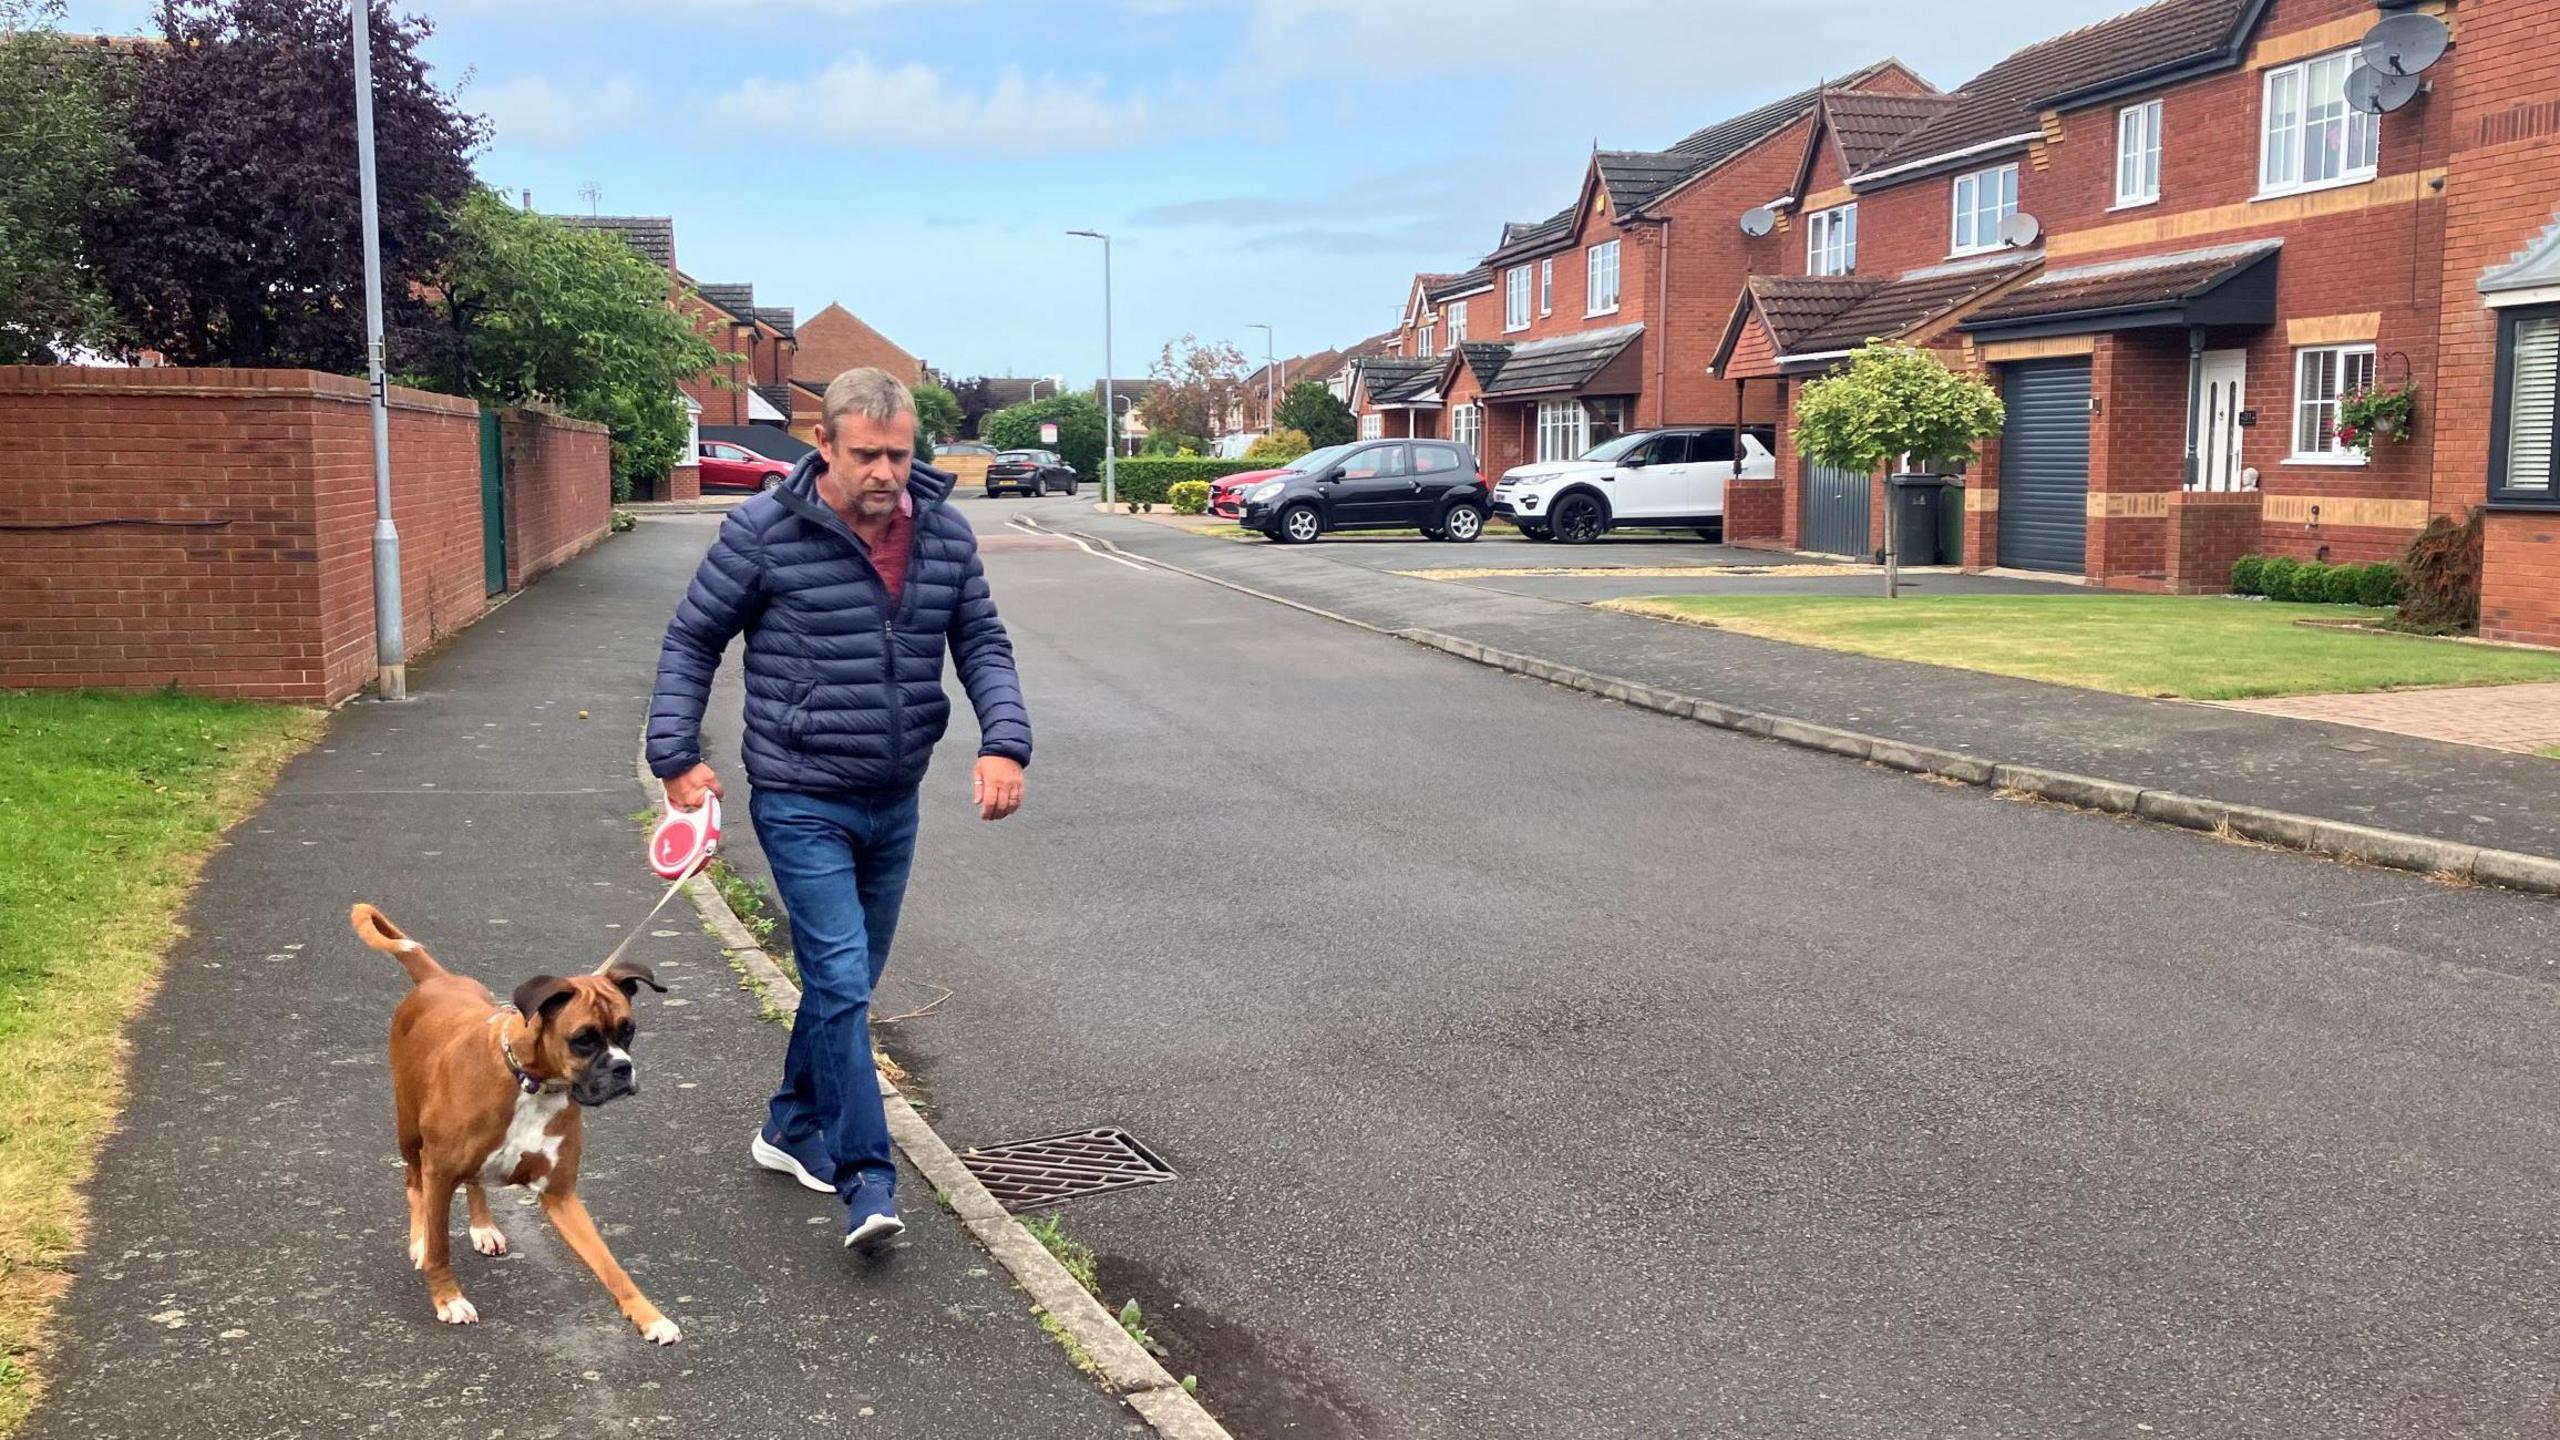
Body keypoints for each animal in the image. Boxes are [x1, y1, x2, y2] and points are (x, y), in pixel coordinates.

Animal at [355, 901, 691, 1342]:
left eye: (628, 1031)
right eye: (583, 1039)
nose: (623, 1067)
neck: (533, 1085)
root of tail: (437, 979)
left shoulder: (560, 1194)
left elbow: (610, 1265)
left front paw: (650, 1316)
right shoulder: (440, 1171)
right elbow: (441, 1247)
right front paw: (447, 1298)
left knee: (474, 1182)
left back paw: (483, 1227)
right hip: (409, 1133)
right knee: (414, 1182)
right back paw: (419, 1239)